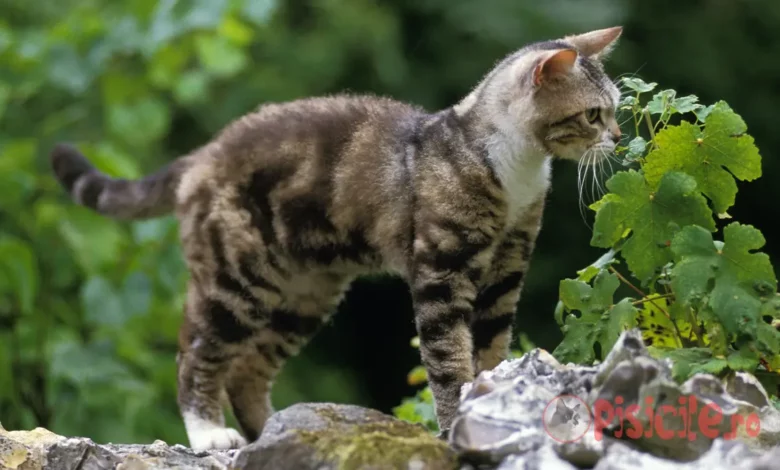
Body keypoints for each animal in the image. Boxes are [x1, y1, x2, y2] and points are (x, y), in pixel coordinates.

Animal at [50, 25, 620, 452]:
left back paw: (278, 432)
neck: (516, 168)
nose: (617, 138)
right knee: (194, 354)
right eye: (594, 114)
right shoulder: (443, 269)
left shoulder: (507, 266)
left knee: (248, 371)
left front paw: (493, 401)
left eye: (614, 108)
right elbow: (448, 357)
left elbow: (492, 346)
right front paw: (457, 422)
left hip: (306, 293)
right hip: (234, 278)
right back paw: (210, 434)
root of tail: (201, 154)